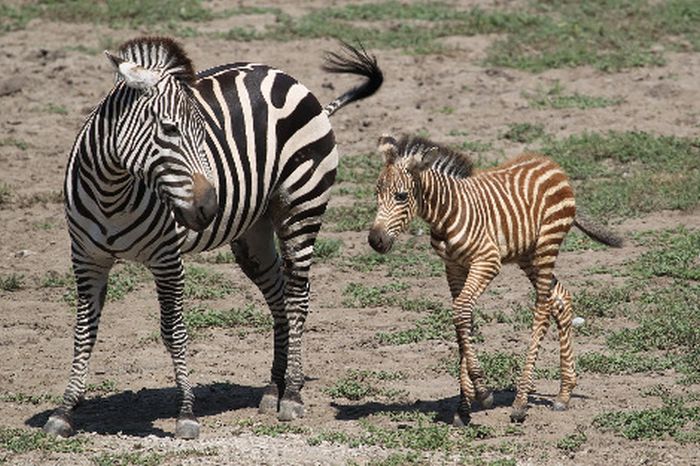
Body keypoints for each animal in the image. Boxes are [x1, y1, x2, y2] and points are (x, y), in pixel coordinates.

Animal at [43, 35, 382, 436]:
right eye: (170, 129)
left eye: (205, 134)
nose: (210, 206)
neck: (112, 191)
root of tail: (285, 75)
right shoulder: (86, 260)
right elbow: (84, 332)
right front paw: (65, 410)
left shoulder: (167, 260)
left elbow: (173, 331)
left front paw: (186, 413)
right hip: (253, 236)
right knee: (279, 299)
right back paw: (274, 388)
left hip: (302, 210)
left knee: (298, 300)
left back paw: (293, 395)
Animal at [370, 133, 620, 424]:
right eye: (376, 194)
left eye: (401, 196)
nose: (375, 241)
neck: (447, 213)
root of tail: (553, 165)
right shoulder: (453, 267)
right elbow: (462, 318)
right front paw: (463, 407)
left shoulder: (487, 262)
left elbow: (461, 311)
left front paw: (483, 392)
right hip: (527, 255)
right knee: (561, 298)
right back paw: (564, 393)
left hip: (546, 245)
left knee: (543, 308)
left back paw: (521, 402)